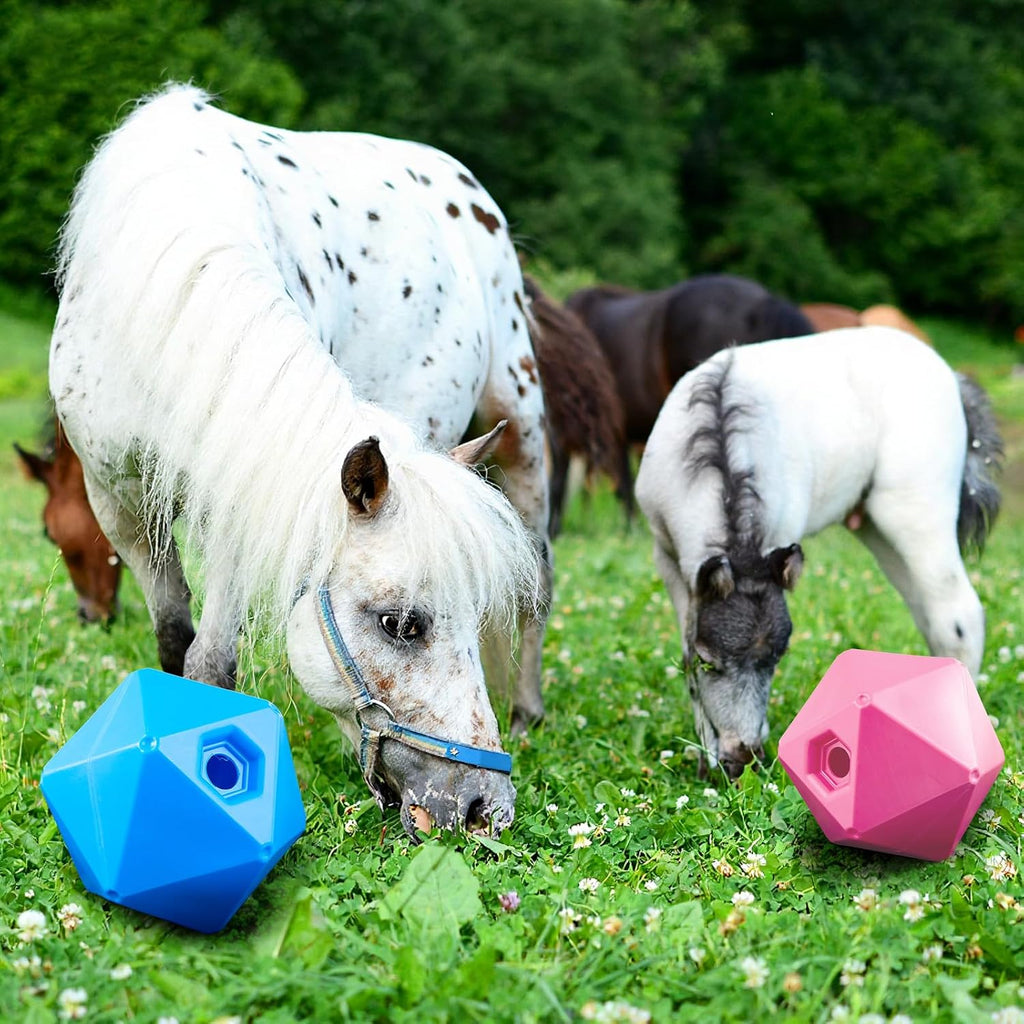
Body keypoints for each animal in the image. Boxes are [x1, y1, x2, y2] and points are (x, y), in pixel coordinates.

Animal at [49, 84, 552, 838]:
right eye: (401, 624)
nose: (483, 808)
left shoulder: (238, 504)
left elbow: (211, 662)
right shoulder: (123, 510)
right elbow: (174, 643)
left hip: (522, 432)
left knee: (538, 588)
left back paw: (527, 711)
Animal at [635, 326, 1002, 780]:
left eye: (777, 659)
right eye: (711, 661)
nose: (743, 759)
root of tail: (952, 376)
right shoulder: (668, 557)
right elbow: (686, 650)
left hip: (916, 514)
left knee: (957, 614)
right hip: (879, 528)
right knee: (929, 612)